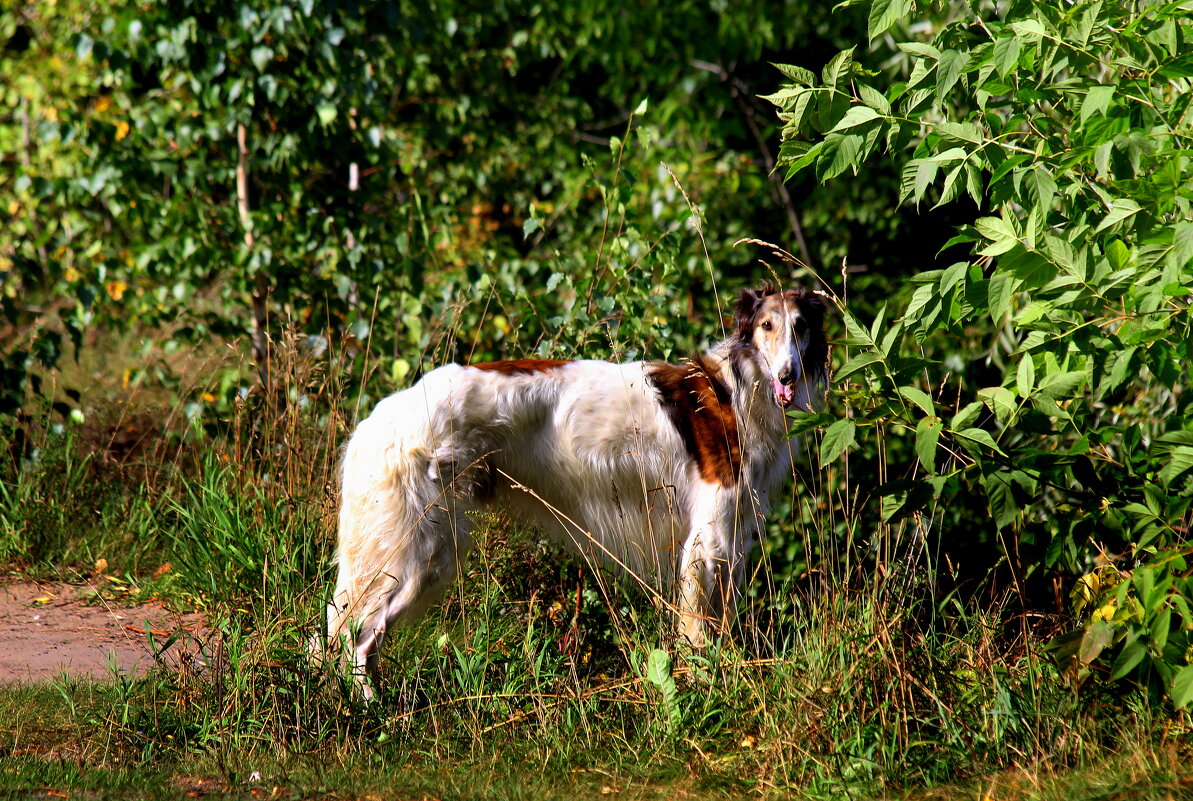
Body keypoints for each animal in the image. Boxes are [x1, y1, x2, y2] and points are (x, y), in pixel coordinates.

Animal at [326, 286, 830, 697]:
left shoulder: (734, 535)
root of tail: (382, 416)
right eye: (767, 326)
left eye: (800, 327)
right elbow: (699, 631)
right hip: (419, 550)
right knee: (355, 637)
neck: (737, 391)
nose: (788, 375)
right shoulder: (708, 540)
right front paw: (707, 683)